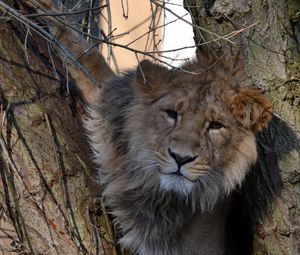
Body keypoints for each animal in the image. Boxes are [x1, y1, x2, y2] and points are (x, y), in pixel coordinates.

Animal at [29, 0, 274, 254]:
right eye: (172, 114)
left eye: (215, 125)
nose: (181, 158)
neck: (160, 197)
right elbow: (87, 58)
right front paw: (46, 12)